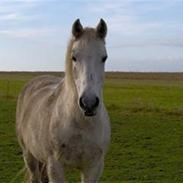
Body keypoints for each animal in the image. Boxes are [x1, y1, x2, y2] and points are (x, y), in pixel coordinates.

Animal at [16, 19, 110, 182]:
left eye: (104, 57)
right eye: (74, 57)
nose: (89, 103)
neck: (82, 123)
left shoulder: (94, 167)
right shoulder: (55, 167)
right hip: (29, 155)